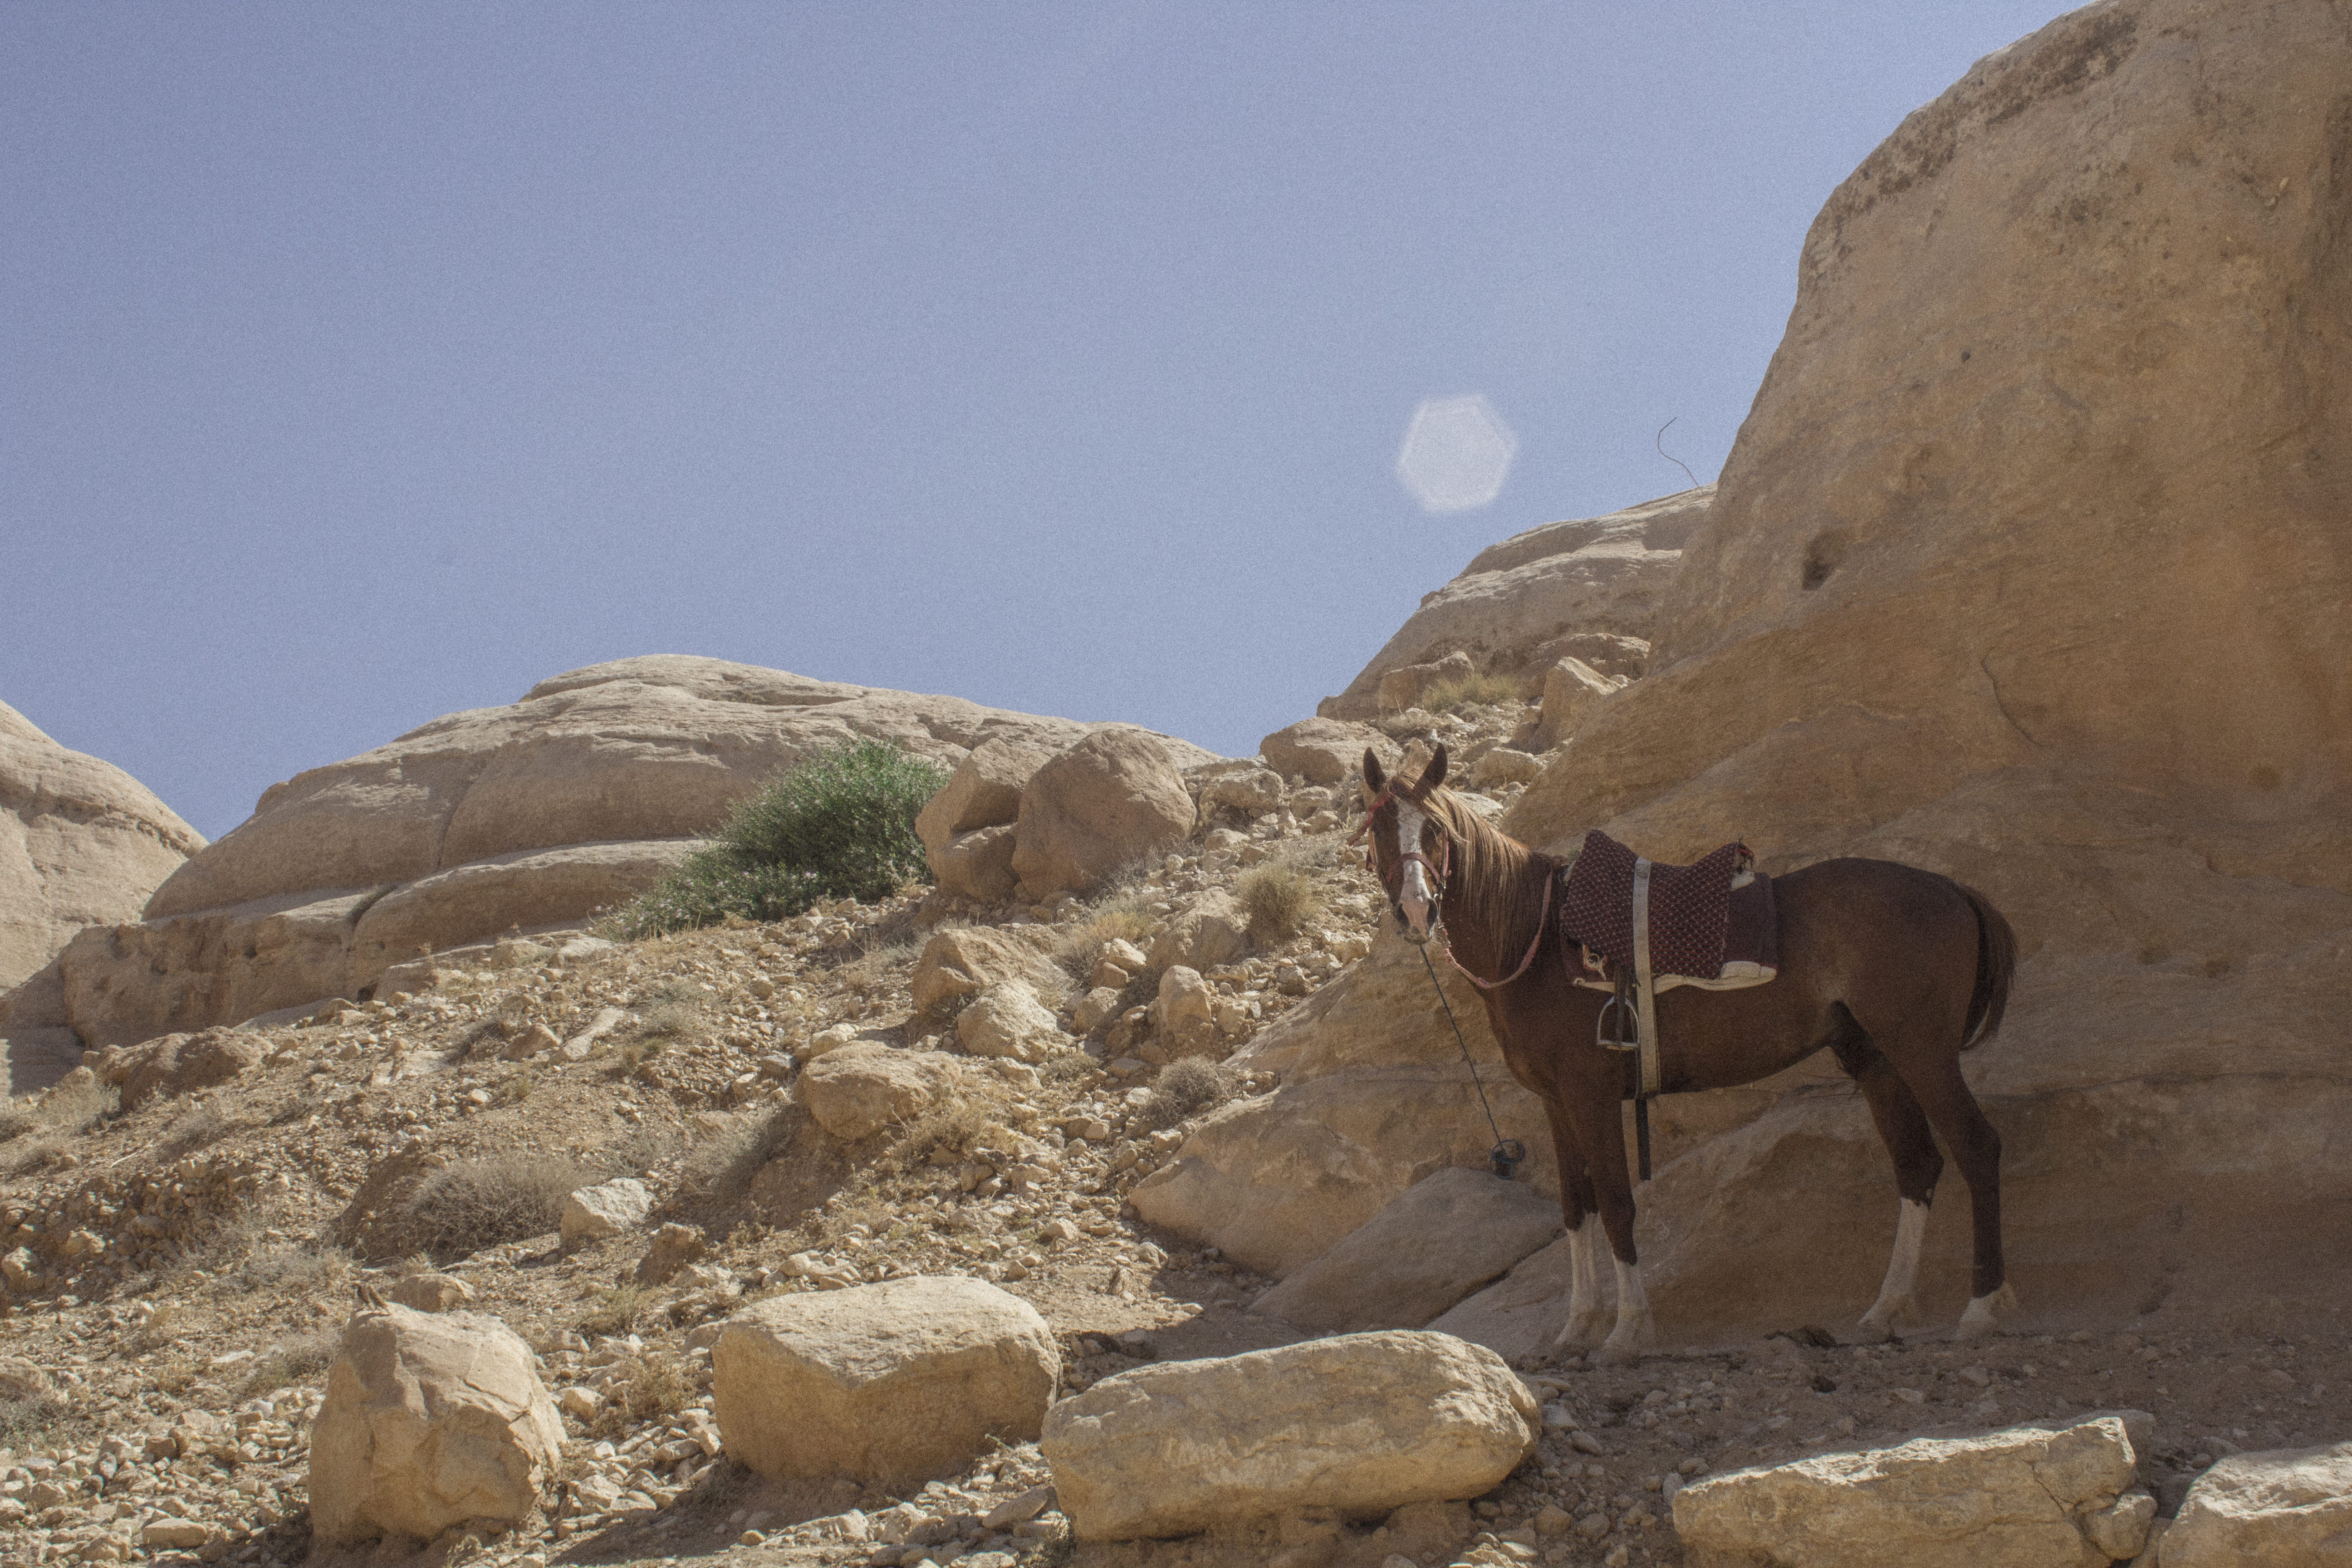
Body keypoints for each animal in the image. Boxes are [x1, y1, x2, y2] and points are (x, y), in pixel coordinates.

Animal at [1358, 744, 2019, 1362]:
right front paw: (1576, 1330)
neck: (1537, 943)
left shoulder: (1592, 1095)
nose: (1417, 909)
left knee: (1977, 1147)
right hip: (1876, 1059)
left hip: (1922, 1052)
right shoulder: (1556, 1103)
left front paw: (1628, 1331)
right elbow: (1576, 1209)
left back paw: (1982, 1311)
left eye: (1436, 828)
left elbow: (1616, 1203)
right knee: (1917, 1165)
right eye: (1379, 830)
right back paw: (1886, 1312)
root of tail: (1955, 889)